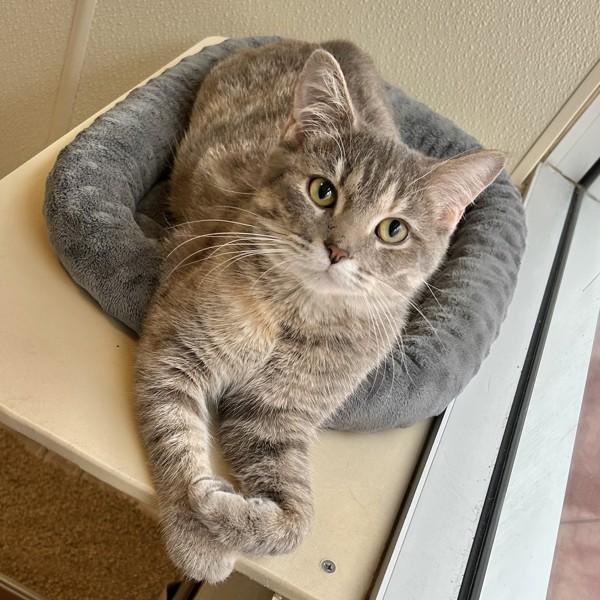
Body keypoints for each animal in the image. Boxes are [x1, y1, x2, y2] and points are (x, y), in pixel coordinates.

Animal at [135, 39, 504, 583]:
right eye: (322, 190)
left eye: (393, 229)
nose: (338, 250)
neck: (298, 316)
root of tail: (332, 42)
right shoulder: (173, 349)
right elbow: (175, 438)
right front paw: (194, 529)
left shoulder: (276, 417)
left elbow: (299, 521)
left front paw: (226, 515)